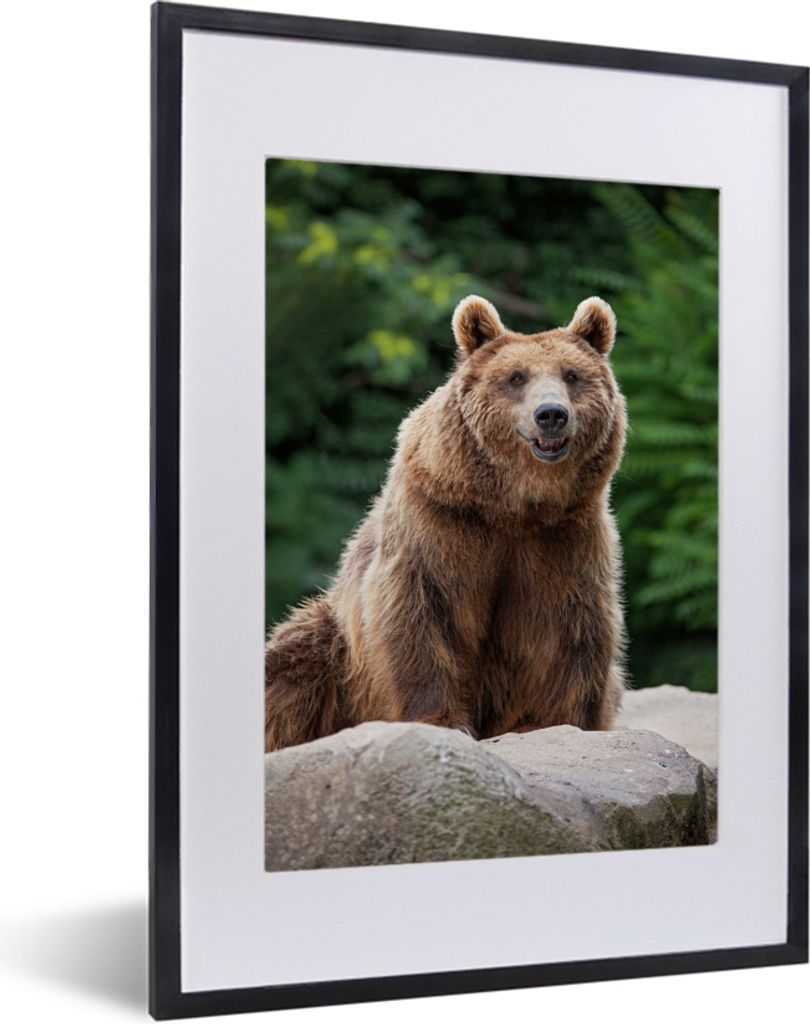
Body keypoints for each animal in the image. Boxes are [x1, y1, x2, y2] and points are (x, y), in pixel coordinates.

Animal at [265, 294, 627, 752]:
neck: (515, 506)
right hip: (337, 651)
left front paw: (555, 722)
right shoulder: (440, 518)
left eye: (572, 375)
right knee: (291, 665)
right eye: (516, 377)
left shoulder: (564, 537)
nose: (551, 414)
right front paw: (442, 720)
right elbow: (418, 608)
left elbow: (571, 626)